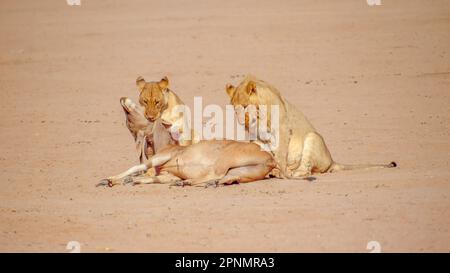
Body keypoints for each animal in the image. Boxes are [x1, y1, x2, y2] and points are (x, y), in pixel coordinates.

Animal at [227, 74, 396, 177]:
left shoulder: (282, 129)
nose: (241, 121)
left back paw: (288, 173)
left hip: (313, 137)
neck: (258, 115)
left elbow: (280, 155)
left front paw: (279, 171)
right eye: (234, 108)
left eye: (244, 106)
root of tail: (332, 161)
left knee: (306, 170)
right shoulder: (256, 136)